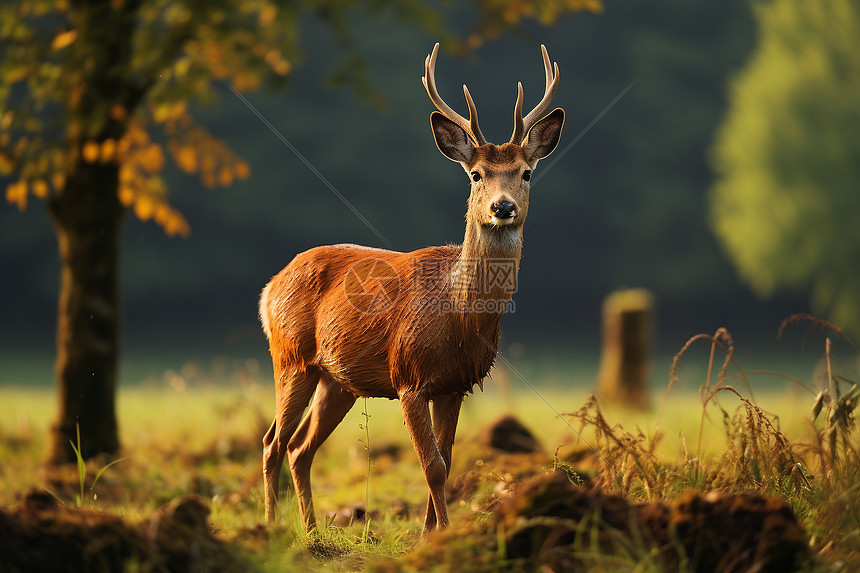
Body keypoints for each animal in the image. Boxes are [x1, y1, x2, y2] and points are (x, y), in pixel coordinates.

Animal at [258, 42, 560, 536]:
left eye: (526, 173)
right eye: (476, 174)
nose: (503, 207)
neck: (460, 316)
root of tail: (269, 287)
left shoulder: (455, 385)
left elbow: (448, 461)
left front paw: (432, 533)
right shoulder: (409, 376)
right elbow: (432, 465)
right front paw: (438, 535)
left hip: (337, 380)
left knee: (301, 446)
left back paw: (314, 531)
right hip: (291, 357)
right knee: (272, 442)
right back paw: (272, 527)